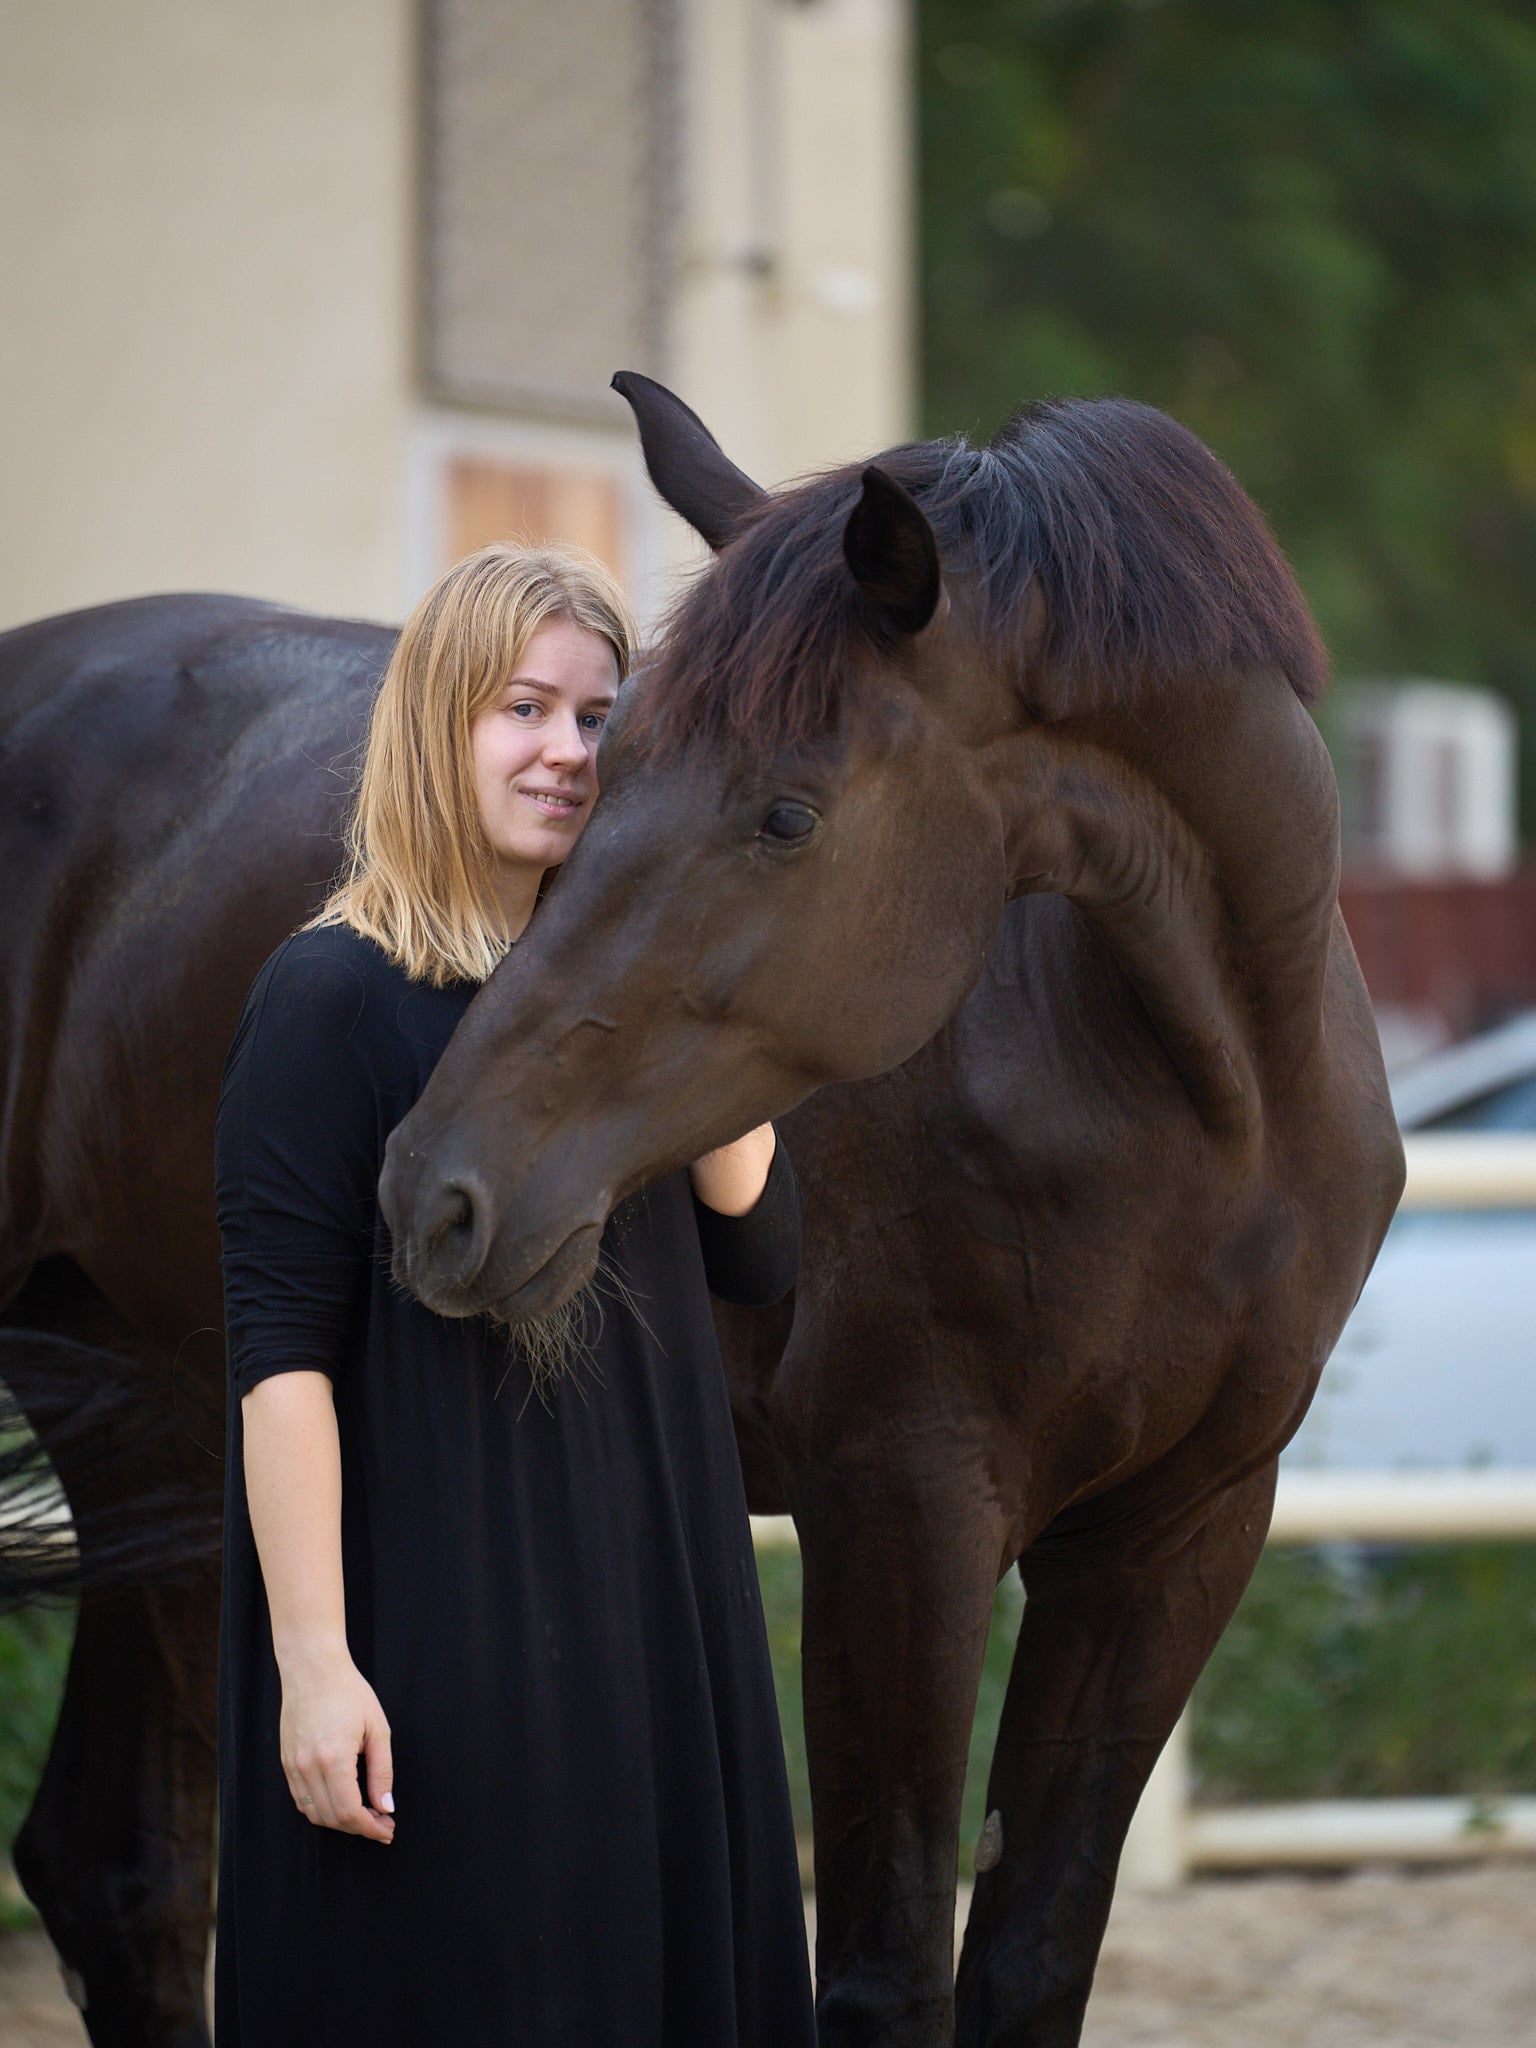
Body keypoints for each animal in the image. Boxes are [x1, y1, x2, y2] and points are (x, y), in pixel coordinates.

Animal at [0, 379, 1401, 2048]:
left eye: (787, 815)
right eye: (599, 762)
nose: (434, 1190)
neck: (1205, 1103)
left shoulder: (1176, 1538)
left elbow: (1032, 1959)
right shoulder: (903, 1508)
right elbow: (887, 1973)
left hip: (166, 1439)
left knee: (116, 1869)